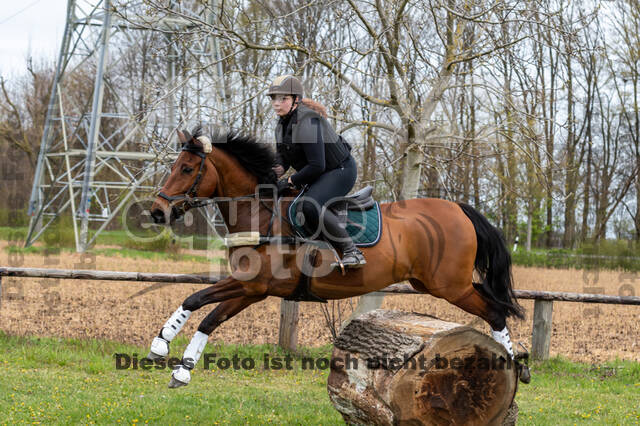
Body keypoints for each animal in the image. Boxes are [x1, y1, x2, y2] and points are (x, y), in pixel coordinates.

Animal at [149, 125, 524, 386]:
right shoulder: (251, 288)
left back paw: (515, 366)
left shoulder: (253, 286)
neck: (259, 213)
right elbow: (204, 311)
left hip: (450, 286)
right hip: (436, 283)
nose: (156, 212)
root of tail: (460, 209)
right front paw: (171, 357)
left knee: (495, 312)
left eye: (186, 169)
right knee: (494, 307)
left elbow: (200, 305)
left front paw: (168, 353)